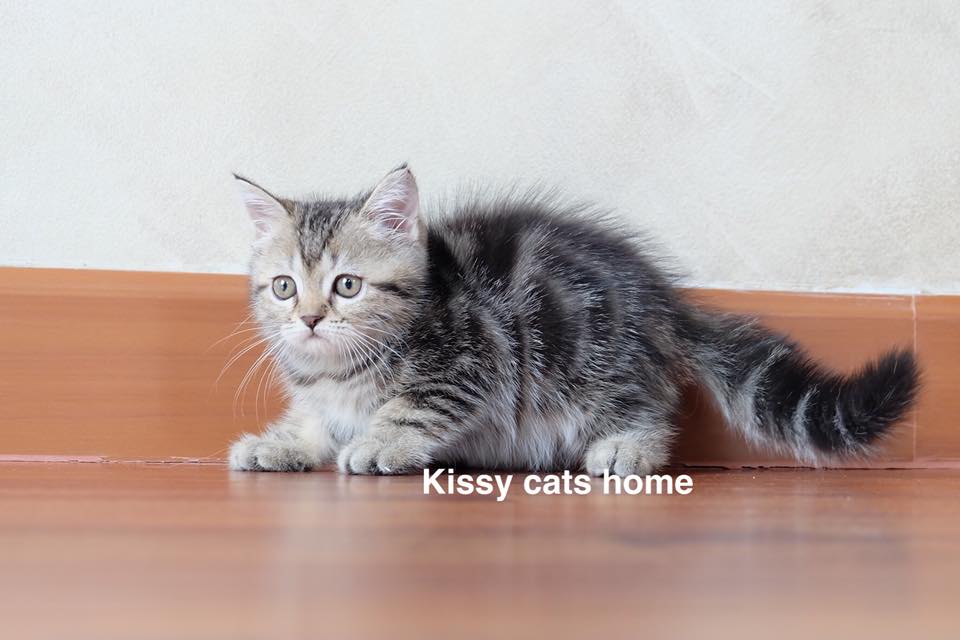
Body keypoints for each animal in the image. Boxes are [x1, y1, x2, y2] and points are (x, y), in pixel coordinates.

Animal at [228, 165, 919, 476]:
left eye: (347, 285)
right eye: (285, 288)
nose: (310, 319)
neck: (339, 370)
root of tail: (663, 300)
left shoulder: (468, 361)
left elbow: (413, 408)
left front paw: (378, 443)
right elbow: (316, 422)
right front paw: (278, 443)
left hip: (591, 357)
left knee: (646, 405)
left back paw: (627, 449)